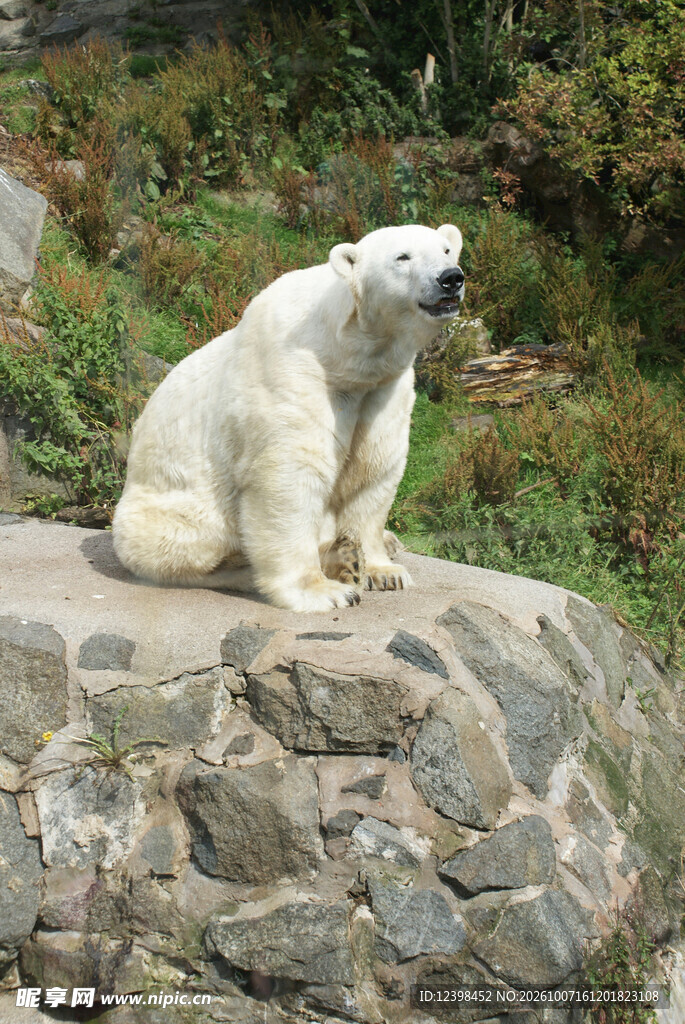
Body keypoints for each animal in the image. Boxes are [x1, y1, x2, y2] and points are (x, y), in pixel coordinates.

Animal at [112, 223, 464, 612]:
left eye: (446, 250)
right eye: (402, 257)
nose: (450, 278)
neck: (347, 355)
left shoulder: (385, 387)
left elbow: (373, 469)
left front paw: (382, 570)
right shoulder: (294, 370)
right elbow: (291, 475)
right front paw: (325, 591)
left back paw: (361, 550)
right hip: (174, 515)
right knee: (193, 553)